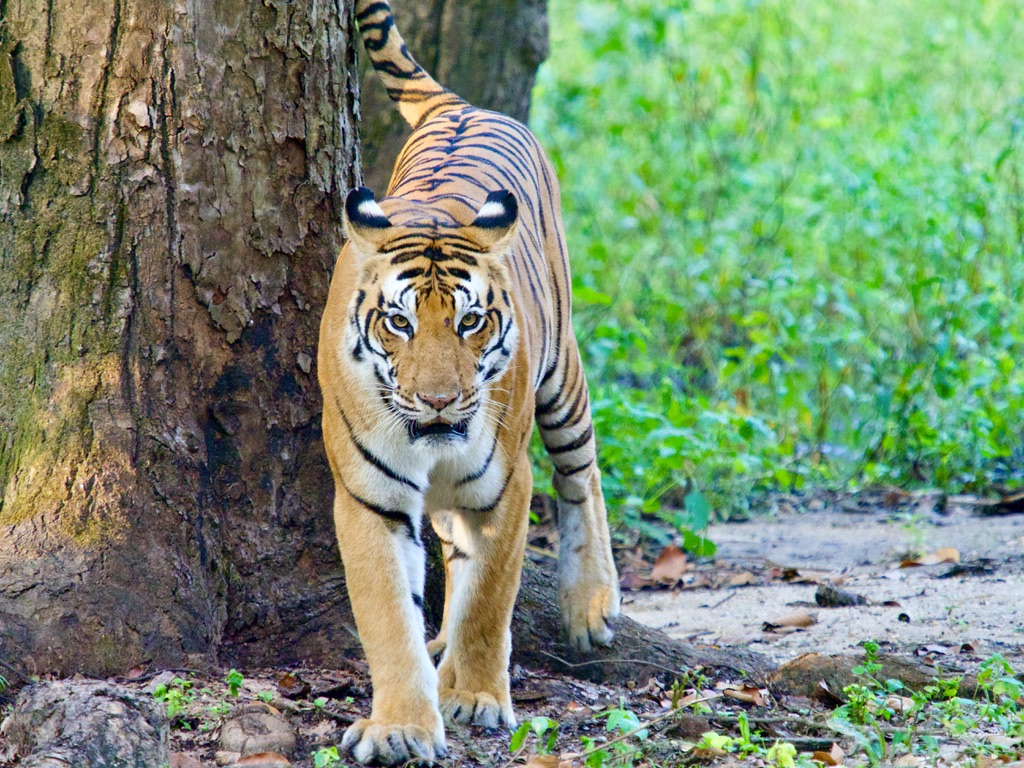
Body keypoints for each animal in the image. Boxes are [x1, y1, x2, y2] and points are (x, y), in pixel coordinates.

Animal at [317, 0, 621, 762]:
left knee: (583, 470)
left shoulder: (505, 487)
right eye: (398, 323)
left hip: (562, 376)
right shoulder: (369, 498)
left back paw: (590, 603)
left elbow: (487, 602)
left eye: (470, 321)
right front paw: (402, 722)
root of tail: (462, 106)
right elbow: (389, 618)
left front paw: (475, 696)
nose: (439, 401)